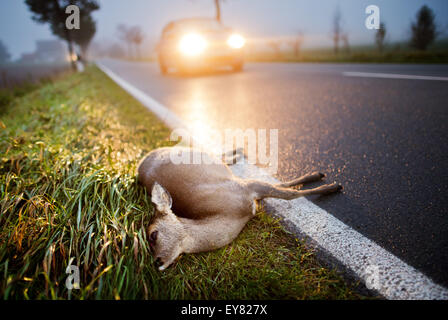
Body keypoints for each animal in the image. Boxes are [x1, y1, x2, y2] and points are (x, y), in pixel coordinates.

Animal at [138, 147, 342, 270]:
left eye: (153, 234)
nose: (156, 262)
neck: (233, 214)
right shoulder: (247, 190)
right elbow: (284, 188)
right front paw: (323, 180)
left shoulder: (243, 187)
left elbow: (288, 193)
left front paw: (330, 185)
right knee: (220, 156)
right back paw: (238, 152)